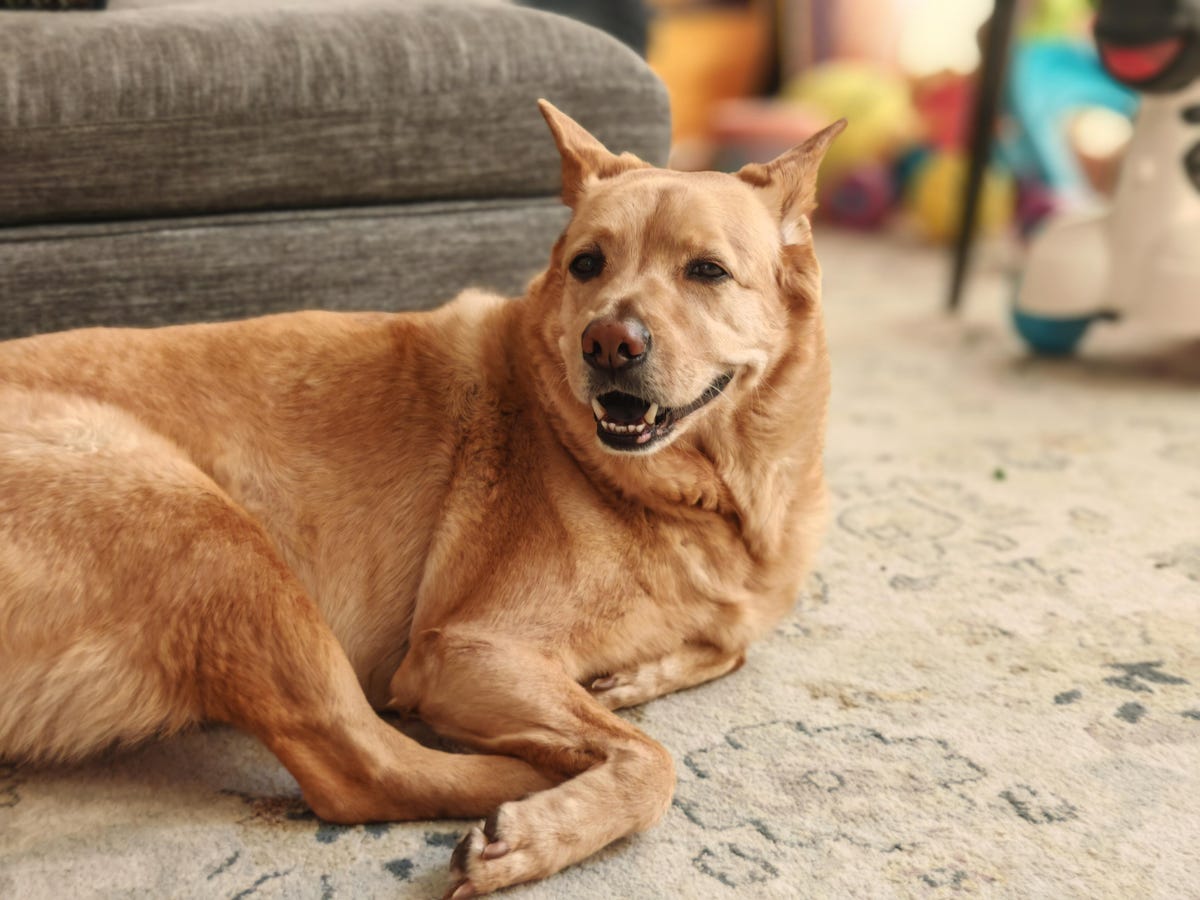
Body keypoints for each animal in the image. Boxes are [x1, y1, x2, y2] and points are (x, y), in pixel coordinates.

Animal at [0, 103, 840, 897]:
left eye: (708, 271)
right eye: (587, 265)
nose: (608, 343)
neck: (706, 502)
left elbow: (729, 646)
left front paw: (634, 678)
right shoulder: (464, 650)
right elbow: (652, 759)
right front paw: (573, 780)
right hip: (209, 532)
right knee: (362, 770)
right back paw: (525, 792)